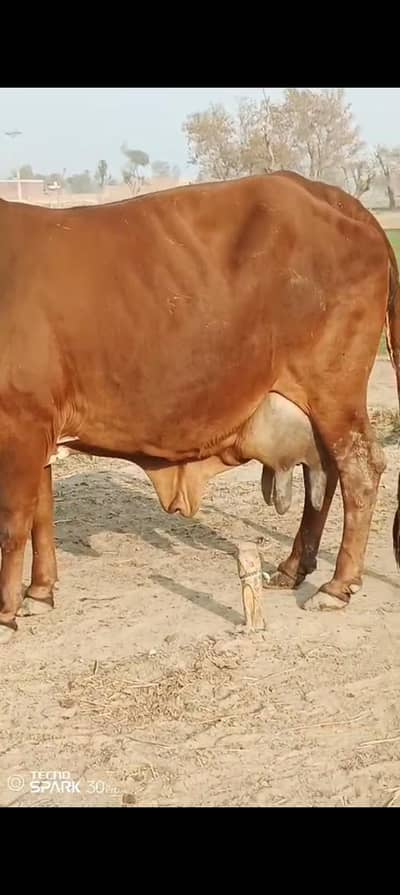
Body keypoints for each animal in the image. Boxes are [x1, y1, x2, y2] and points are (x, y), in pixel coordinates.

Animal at [0, 172, 398, 643]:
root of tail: (331, 195)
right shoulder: (39, 422)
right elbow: (41, 512)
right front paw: (39, 593)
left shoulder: (20, 422)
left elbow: (13, 522)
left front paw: (6, 612)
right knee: (326, 472)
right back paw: (292, 568)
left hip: (335, 391)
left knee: (360, 470)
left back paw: (338, 585)